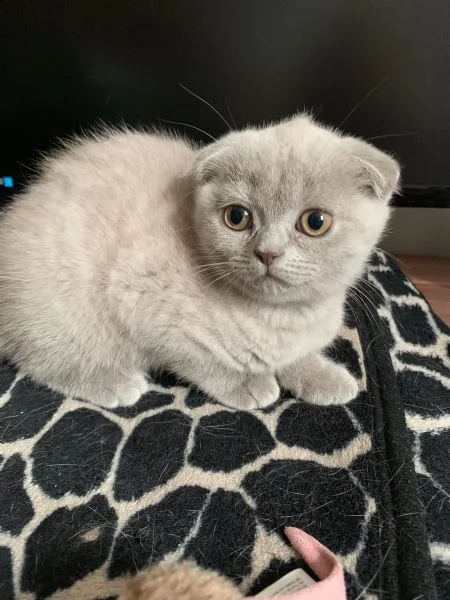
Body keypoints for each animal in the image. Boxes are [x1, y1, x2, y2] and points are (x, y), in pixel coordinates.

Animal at [0, 115, 400, 410]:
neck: (282, 317)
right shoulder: (141, 301)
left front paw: (321, 376)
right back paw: (113, 381)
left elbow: (296, 357)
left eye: (315, 222)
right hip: (61, 305)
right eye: (237, 217)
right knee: (39, 357)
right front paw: (247, 384)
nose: (267, 253)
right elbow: (202, 360)